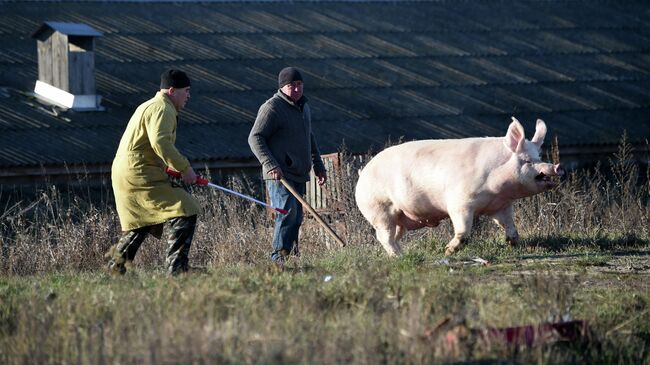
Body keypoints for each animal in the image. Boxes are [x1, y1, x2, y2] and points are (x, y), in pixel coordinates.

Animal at [354, 116, 560, 256]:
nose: (556, 167)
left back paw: (401, 254)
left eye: (539, 157)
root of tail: (362, 174)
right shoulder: (460, 203)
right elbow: (463, 230)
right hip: (380, 211)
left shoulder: (501, 206)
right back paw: (399, 257)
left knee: (394, 237)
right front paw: (448, 250)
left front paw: (513, 243)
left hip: (399, 218)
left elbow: (509, 225)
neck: (497, 191)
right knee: (384, 237)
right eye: (527, 160)